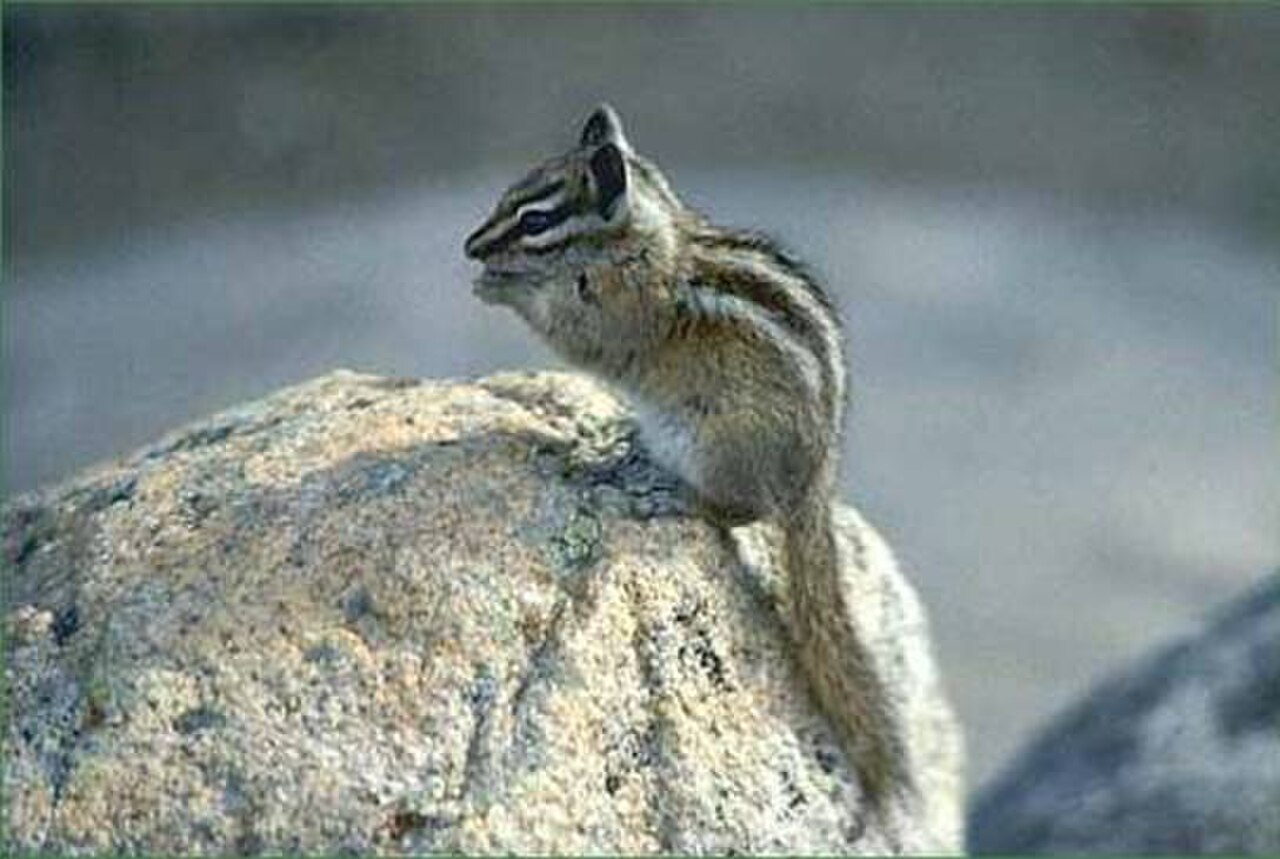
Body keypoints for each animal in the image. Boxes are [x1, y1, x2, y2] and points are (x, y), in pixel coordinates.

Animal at [464, 105, 911, 816]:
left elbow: (577, 334)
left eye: (534, 221)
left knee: (739, 511)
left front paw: (500, 288)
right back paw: (621, 447)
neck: (642, 240)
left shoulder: (619, 312)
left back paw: (666, 492)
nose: (471, 248)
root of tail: (814, 482)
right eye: (509, 195)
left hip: (718, 445)